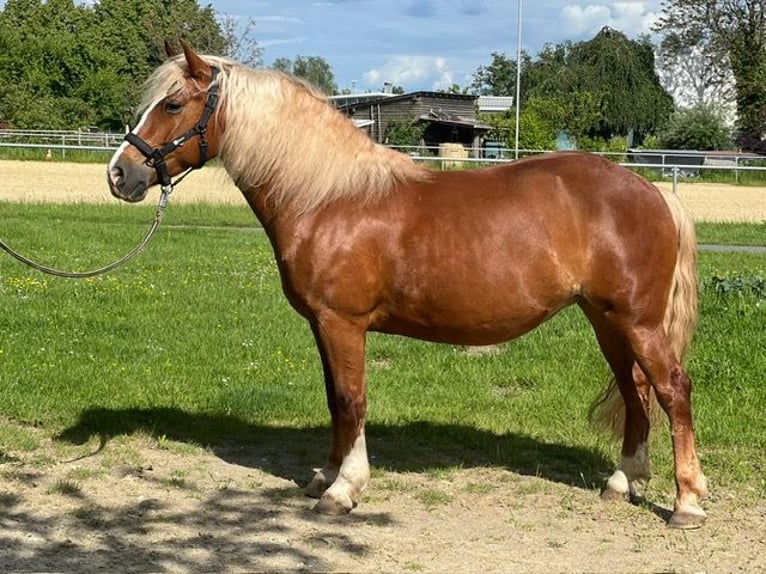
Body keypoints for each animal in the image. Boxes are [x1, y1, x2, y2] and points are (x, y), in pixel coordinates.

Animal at [106, 42, 708, 528]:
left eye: (173, 105)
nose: (119, 174)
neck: (328, 197)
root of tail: (651, 190)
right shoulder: (324, 327)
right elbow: (334, 400)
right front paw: (325, 476)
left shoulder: (342, 323)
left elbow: (351, 399)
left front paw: (344, 490)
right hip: (607, 321)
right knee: (635, 391)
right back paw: (623, 482)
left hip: (637, 322)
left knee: (672, 390)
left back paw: (686, 503)